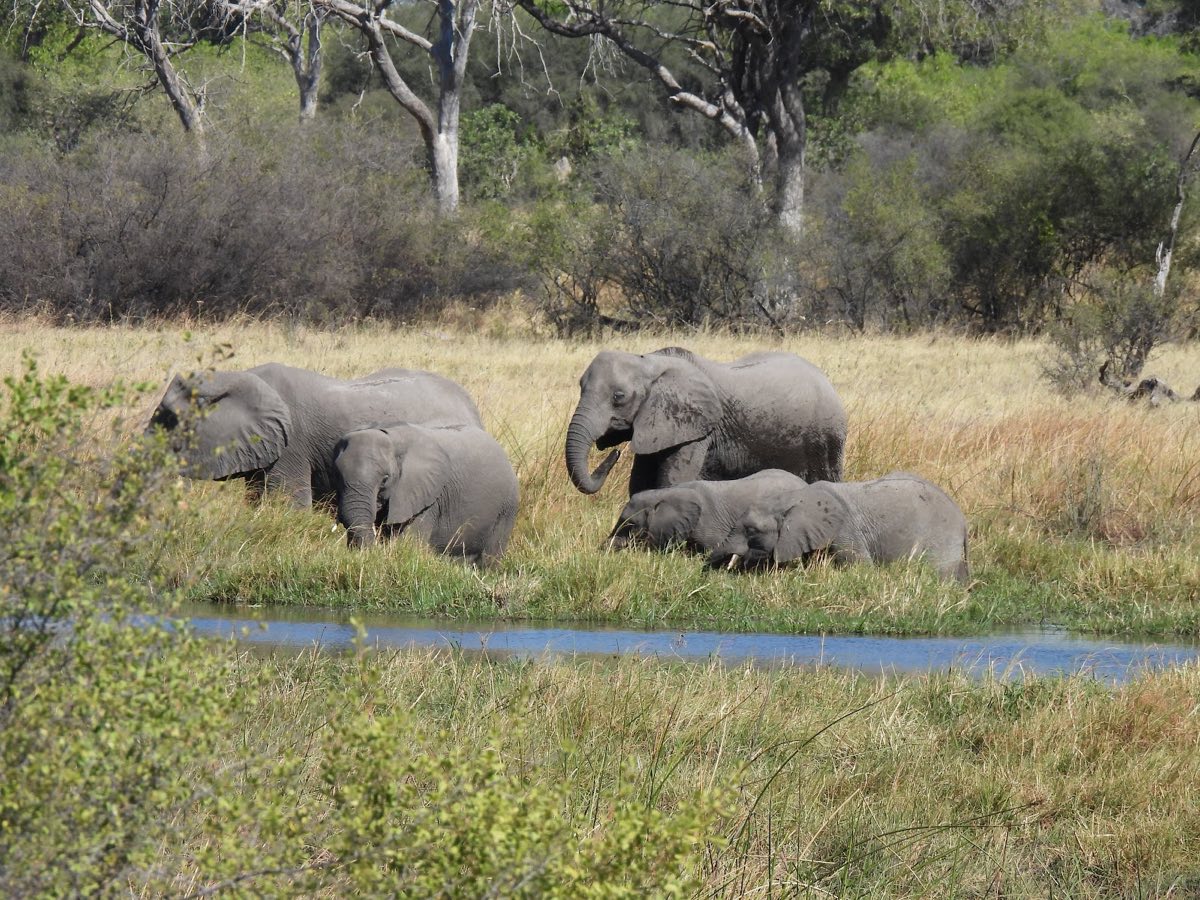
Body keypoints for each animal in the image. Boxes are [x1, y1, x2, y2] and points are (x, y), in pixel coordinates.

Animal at [333, 423, 519, 565]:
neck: (393, 439)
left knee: (490, 557)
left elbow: (408, 544)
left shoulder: (427, 500)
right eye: (338, 476)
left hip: (507, 508)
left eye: (385, 479)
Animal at [565, 347, 847, 498]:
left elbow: (672, 484)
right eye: (579, 387)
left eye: (618, 397)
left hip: (826, 437)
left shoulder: (697, 431)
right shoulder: (659, 426)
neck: (650, 361)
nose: (614, 454)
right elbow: (639, 485)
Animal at [710, 472, 970, 583]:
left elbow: (861, 568)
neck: (792, 498)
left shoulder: (845, 530)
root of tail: (962, 519)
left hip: (939, 539)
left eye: (751, 530)